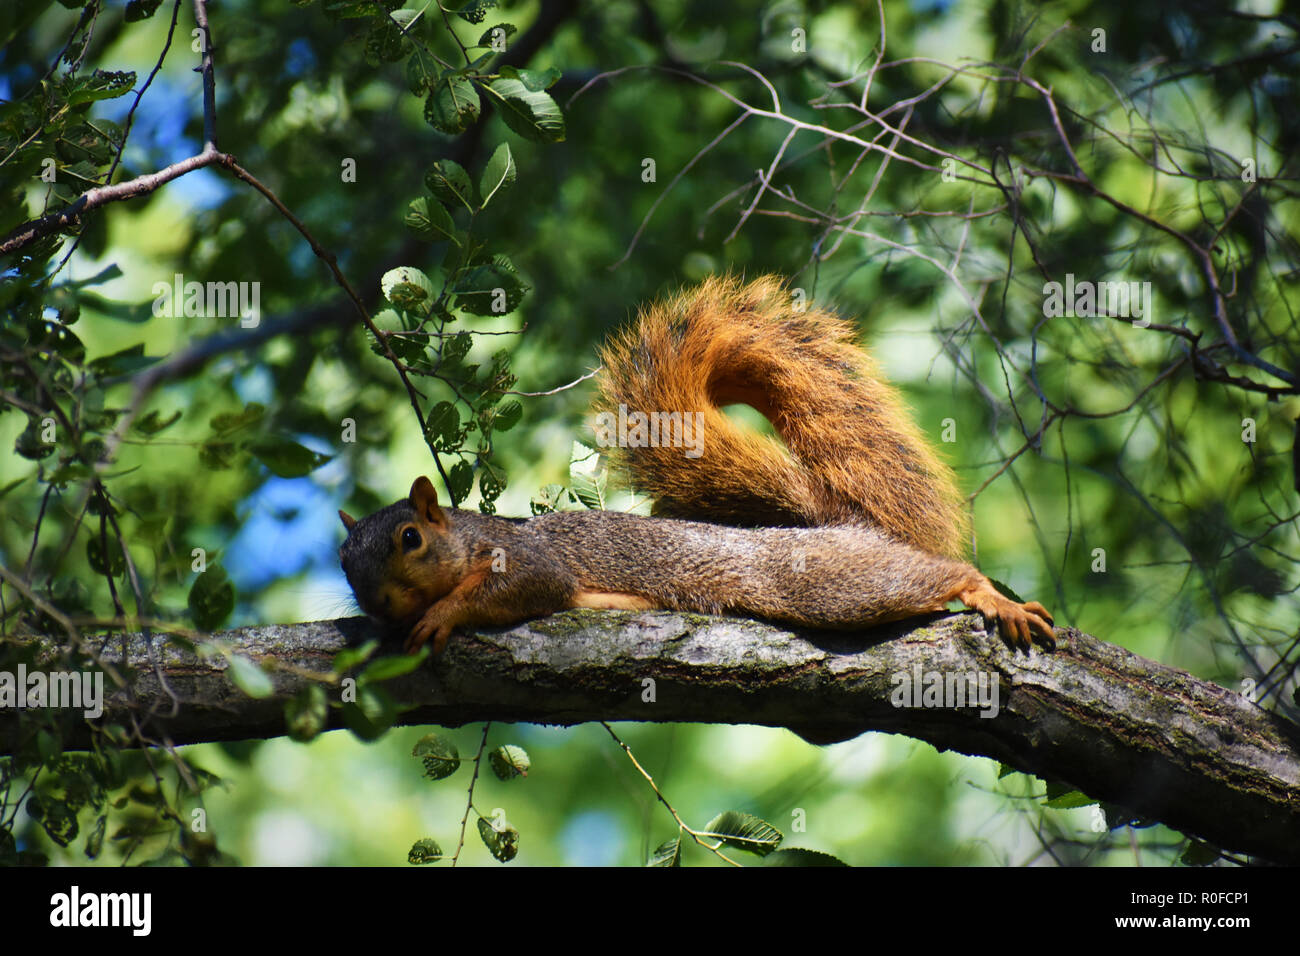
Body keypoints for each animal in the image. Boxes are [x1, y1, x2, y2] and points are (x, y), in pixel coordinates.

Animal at [339, 275, 1055, 656]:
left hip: (829, 584)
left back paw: (991, 598)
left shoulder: (528, 559)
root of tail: (844, 527)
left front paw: (442, 613)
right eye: (342, 561)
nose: (379, 601)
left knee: (937, 576)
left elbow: (522, 587)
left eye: (411, 537)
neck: (467, 537)